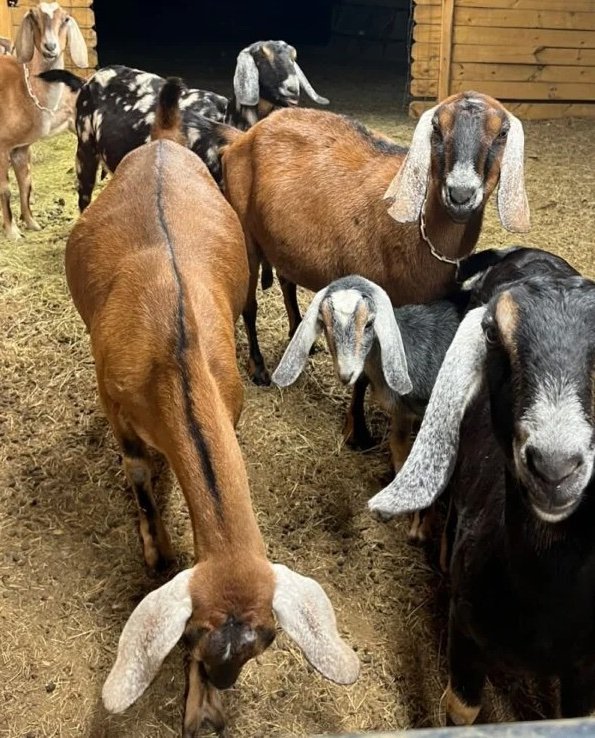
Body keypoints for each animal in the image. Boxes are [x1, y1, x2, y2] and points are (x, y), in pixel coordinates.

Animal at [0, 1, 87, 239]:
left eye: (66, 18)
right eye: (33, 17)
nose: (50, 46)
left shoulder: (20, 147)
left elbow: (26, 184)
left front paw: (32, 223)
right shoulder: (1, 146)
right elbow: (5, 189)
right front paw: (12, 232)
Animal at [46, 40, 328, 212]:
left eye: (293, 57)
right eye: (261, 57)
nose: (292, 89)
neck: (224, 118)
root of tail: (87, 80)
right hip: (85, 148)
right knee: (83, 198)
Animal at [65, 79, 358, 734]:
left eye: (265, 642)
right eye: (192, 638)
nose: (219, 690)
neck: (173, 351)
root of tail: (164, 138)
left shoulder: (228, 407)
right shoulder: (119, 412)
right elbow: (142, 487)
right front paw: (156, 549)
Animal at [219, 92, 530, 386]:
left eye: (502, 132)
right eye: (436, 128)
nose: (461, 194)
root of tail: (242, 138)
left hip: (281, 240)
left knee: (287, 281)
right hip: (246, 235)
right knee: (250, 305)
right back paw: (258, 367)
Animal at [367, 247, 595, 724]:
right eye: (492, 332)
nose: (555, 465)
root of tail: (526, 252)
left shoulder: (585, 670)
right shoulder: (465, 635)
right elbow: (462, 708)